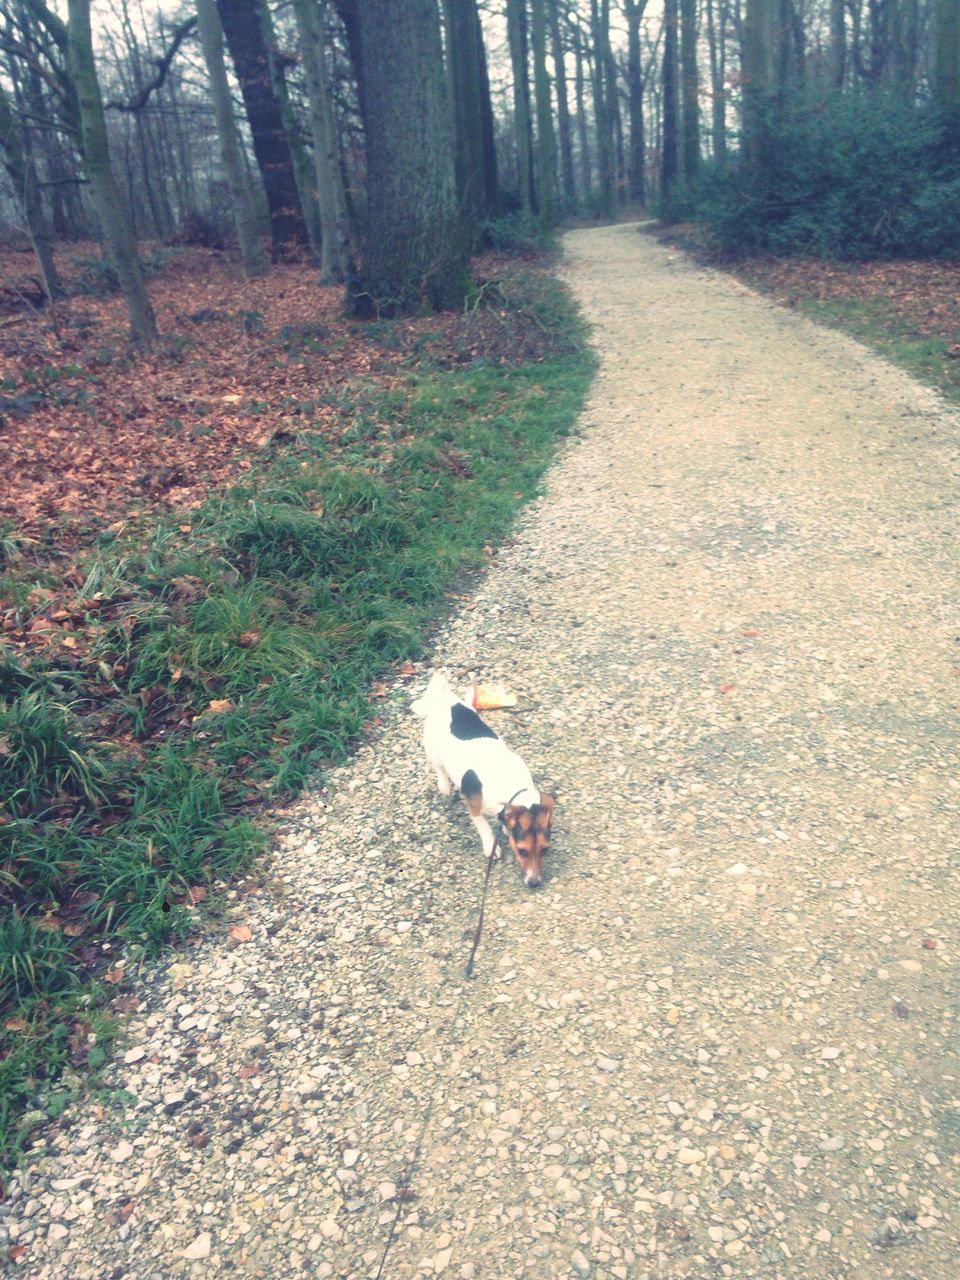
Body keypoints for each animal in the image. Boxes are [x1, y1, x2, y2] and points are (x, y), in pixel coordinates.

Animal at [409, 670, 552, 890]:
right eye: (522, 851)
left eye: (545, 849)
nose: (534, 883)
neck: (511, 786)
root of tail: (446, 699)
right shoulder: (474, 807)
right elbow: (484, 827)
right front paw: (491, 846)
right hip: (432, 750)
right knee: (439, 768)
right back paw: (444, 786)